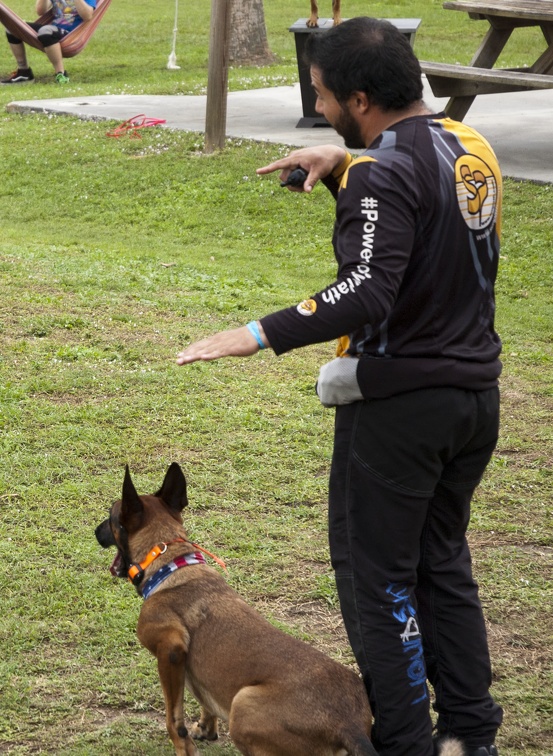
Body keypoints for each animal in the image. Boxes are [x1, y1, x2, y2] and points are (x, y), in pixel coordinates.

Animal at [97, 464, 378, 752]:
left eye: (110, 517)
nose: (96, 531)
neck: (172, 564)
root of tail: (349, 726)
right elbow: (204, 703)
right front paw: (206, 728)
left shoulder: (170, 651)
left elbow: (174, 720)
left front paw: (184, 746)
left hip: (242, 705)